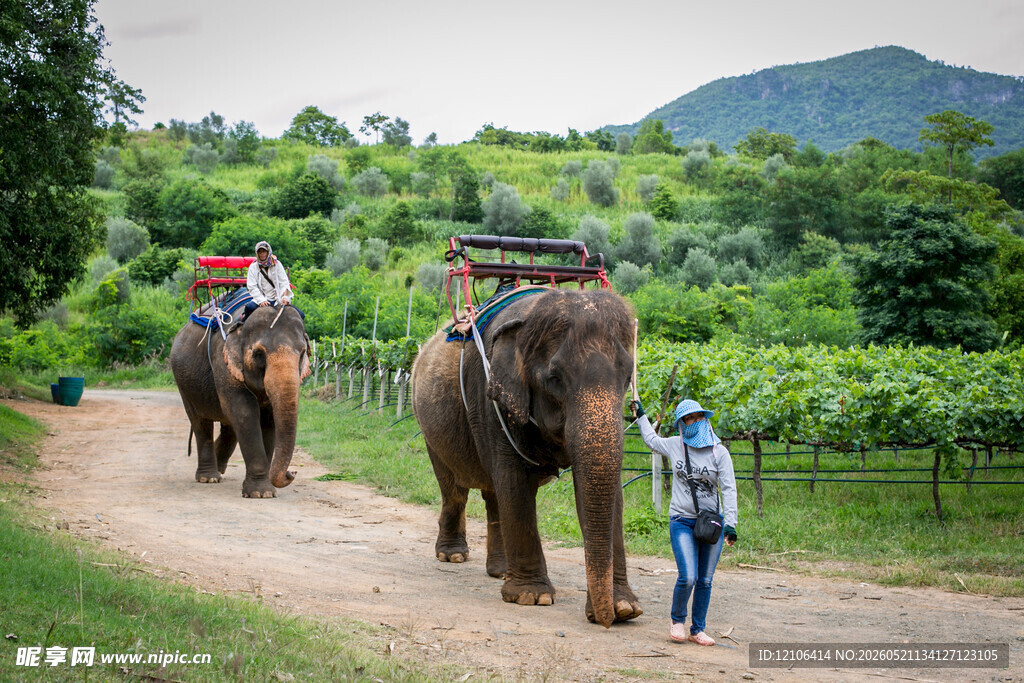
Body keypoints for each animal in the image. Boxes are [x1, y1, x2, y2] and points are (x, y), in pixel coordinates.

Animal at [169, 305, 311, 498]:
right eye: (258, 354)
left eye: (303, 353)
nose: (293, 472)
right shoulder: (223, 362)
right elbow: (245, 413)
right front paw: (260, 493)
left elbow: (269, 420)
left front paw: (266, 492)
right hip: (184, 385)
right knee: (200, 423)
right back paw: (209, 477)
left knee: (229, 426)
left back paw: (219, 467)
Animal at [411, 287, 643, 627]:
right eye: (555, 378)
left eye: (628, 377)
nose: (605, 620)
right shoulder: (491, 398)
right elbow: (514, 482)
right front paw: (531, 598)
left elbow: (606, 490)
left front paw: (626, 608)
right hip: (428, 426)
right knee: (455, 488)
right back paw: (452, 555)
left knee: (494, 493)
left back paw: (500, 571)